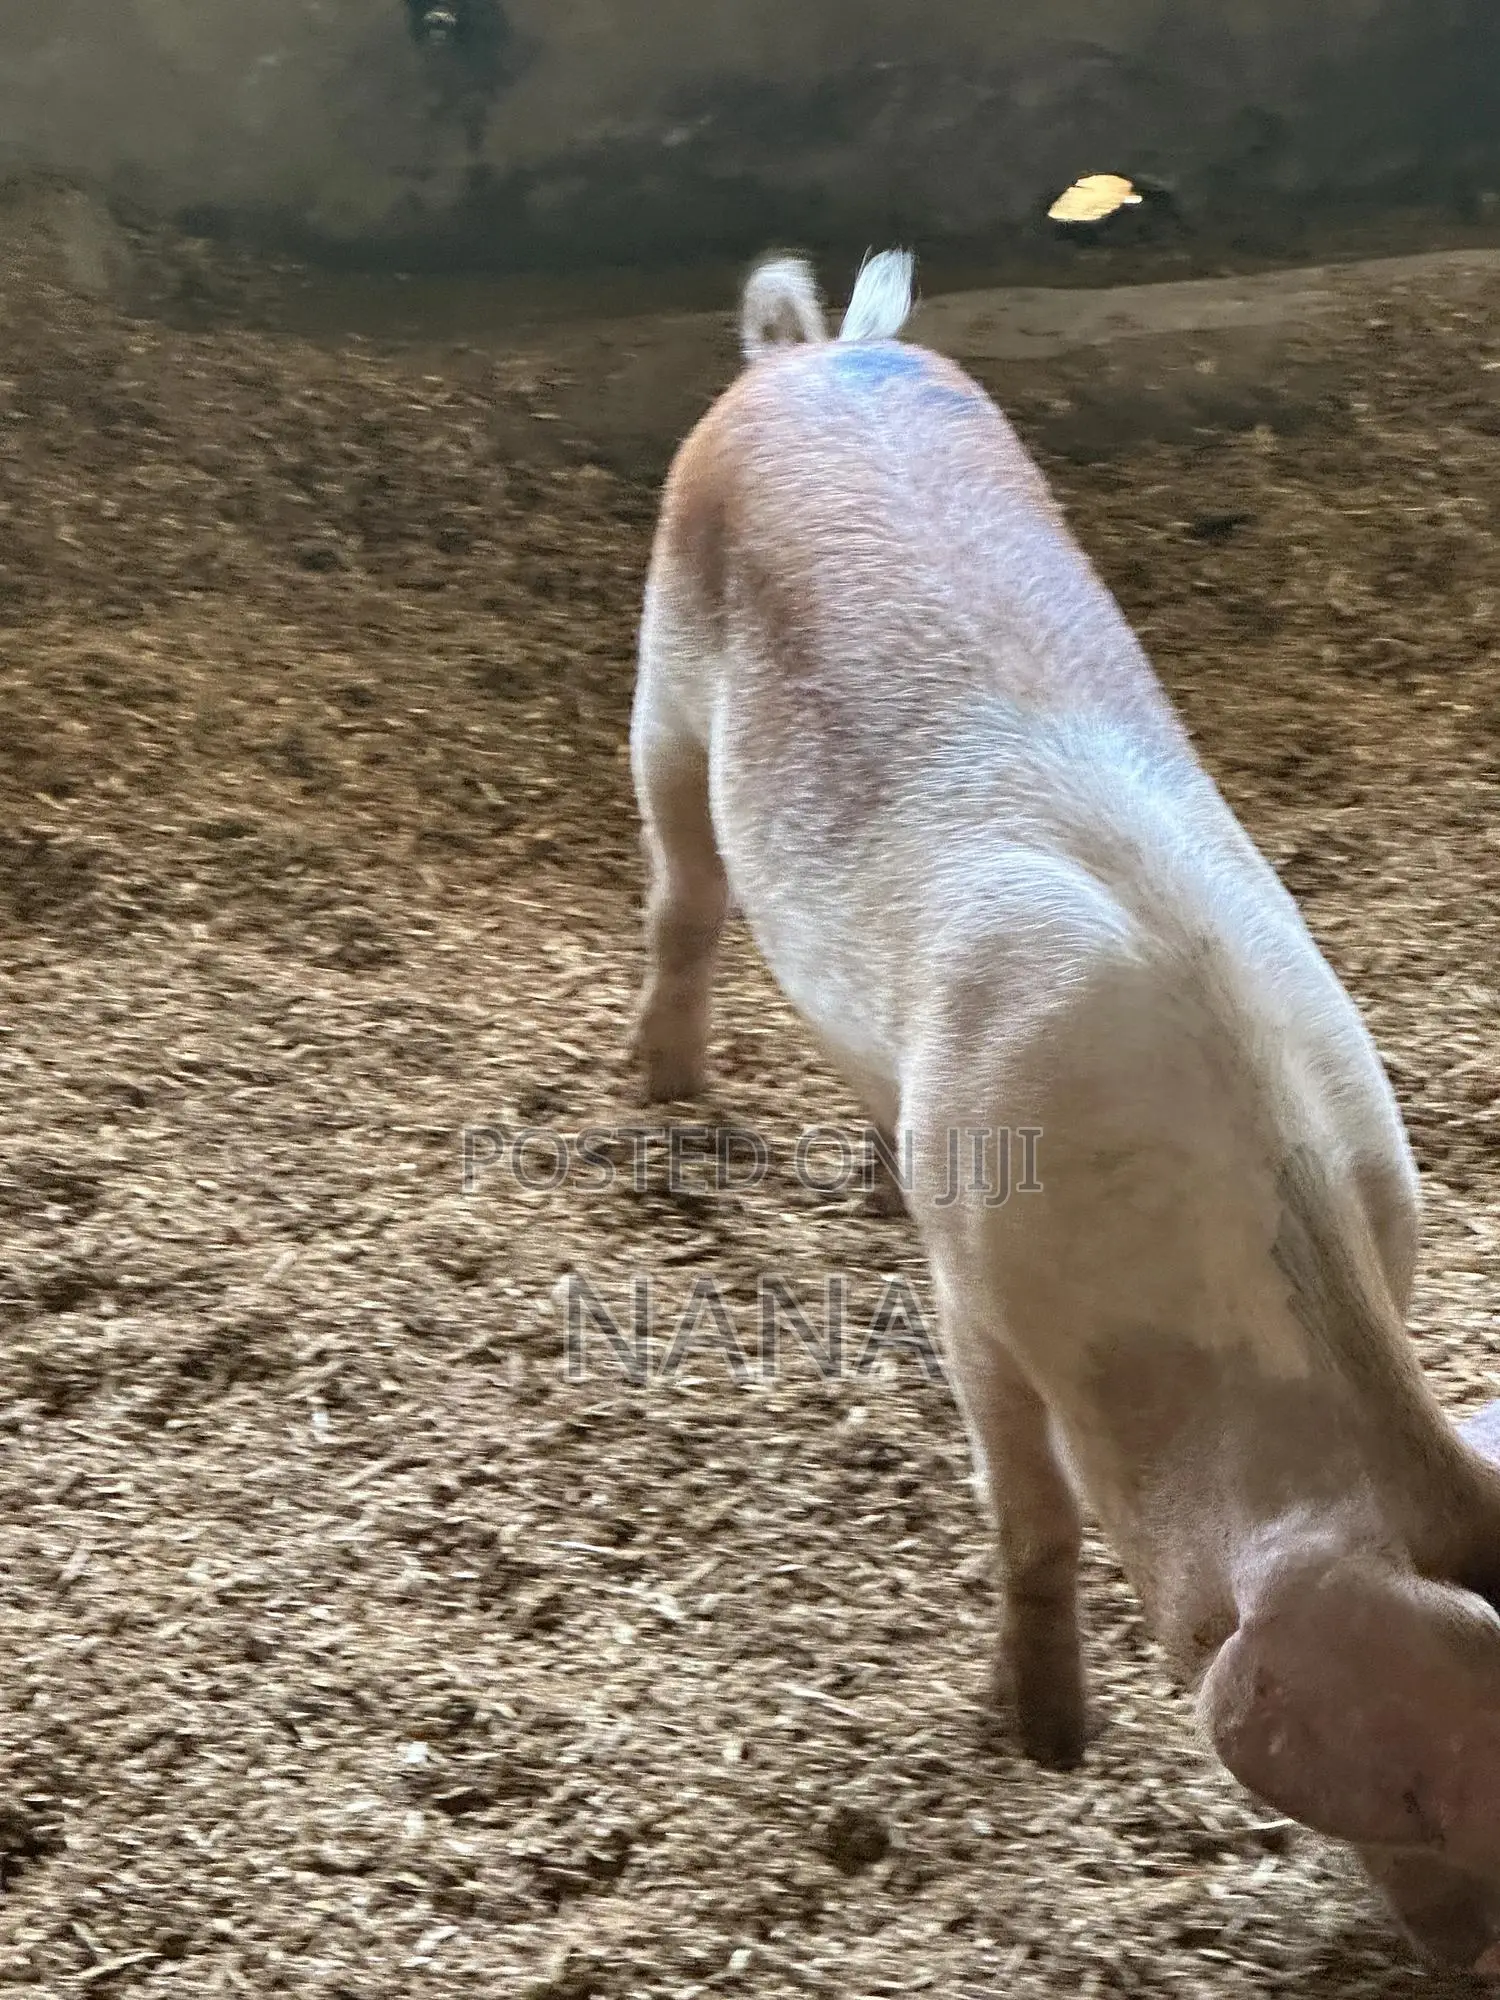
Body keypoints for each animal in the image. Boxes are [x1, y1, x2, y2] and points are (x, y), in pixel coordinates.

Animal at [627, 246, 1500, 1972]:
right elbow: (1026, 1516)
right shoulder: (986, 1295)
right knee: (684, 892)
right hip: (664, 678)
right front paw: (1040, 1743)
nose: (1471, 1962)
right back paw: (664, 1096)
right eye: (1441, 1801)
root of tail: (817, 352)